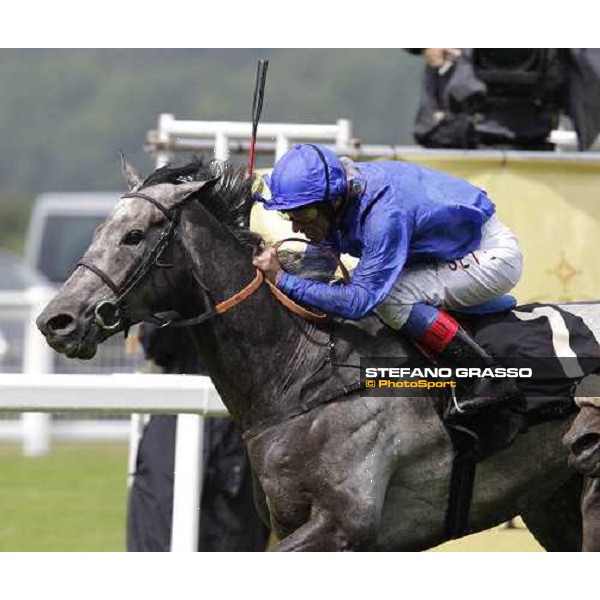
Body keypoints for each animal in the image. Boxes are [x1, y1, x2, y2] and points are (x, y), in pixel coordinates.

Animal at [38, 161, 596, 552]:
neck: (304, 379)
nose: (56, 321)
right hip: (553, 501)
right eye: (98, 231)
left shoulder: (344, 525)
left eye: (133, 236)